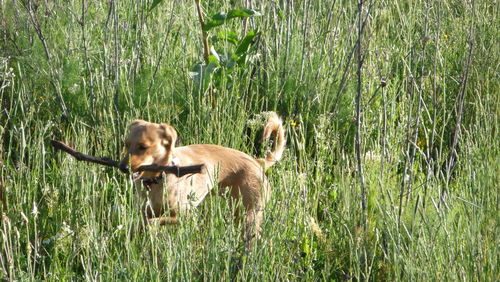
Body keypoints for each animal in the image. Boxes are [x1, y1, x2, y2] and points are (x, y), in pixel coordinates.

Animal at [120, 112, 286, 245]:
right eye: (126, 144)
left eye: (143, 147)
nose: (123, 167)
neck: (156, 180)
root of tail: (258, 162)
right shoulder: (146, 211)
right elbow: (141, 225)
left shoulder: (184, 216)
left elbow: (154, 221)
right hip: (238, 213)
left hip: (251, 215)